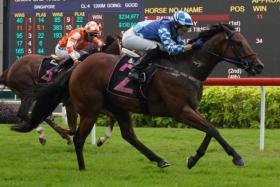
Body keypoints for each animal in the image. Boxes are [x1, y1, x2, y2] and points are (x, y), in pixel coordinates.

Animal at [12, 23, 264, 169]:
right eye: (238, 43)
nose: (259, 66)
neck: (185, 67)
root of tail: (78, 67)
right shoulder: (180, 111)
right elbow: (212, 129)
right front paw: (233, 157)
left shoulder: (190, 109)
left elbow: (211, 130)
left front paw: (196, 158)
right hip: (91, 108)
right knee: (79, 138)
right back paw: (82, 167)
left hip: (118, 106)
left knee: (128, 135)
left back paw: (159, 160)